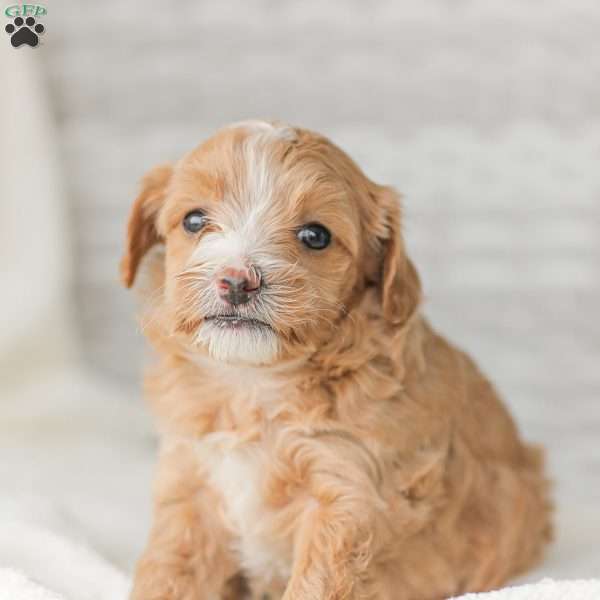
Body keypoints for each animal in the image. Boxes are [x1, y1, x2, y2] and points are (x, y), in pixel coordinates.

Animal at [123, 120, 552, 600]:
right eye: (194, 220)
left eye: (316, 236)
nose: (236, 280)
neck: (253, 385)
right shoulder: (190, 482)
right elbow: (168, 571)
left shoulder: (346, 489)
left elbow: (314, 583)